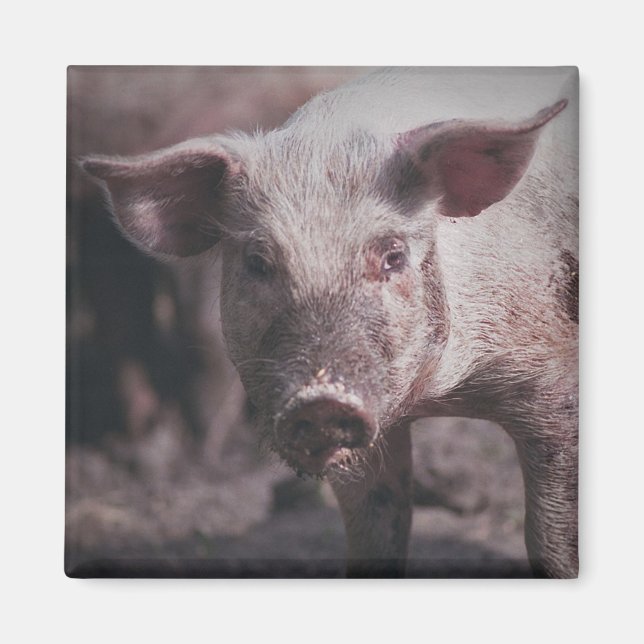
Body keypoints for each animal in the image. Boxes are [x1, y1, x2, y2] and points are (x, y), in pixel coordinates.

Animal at [82, 67, 579, 578]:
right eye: (258, 262)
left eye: (393, 256)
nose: (321, 400)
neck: (438, 396)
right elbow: (375, 536)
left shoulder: (553, 386)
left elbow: (552, 542)